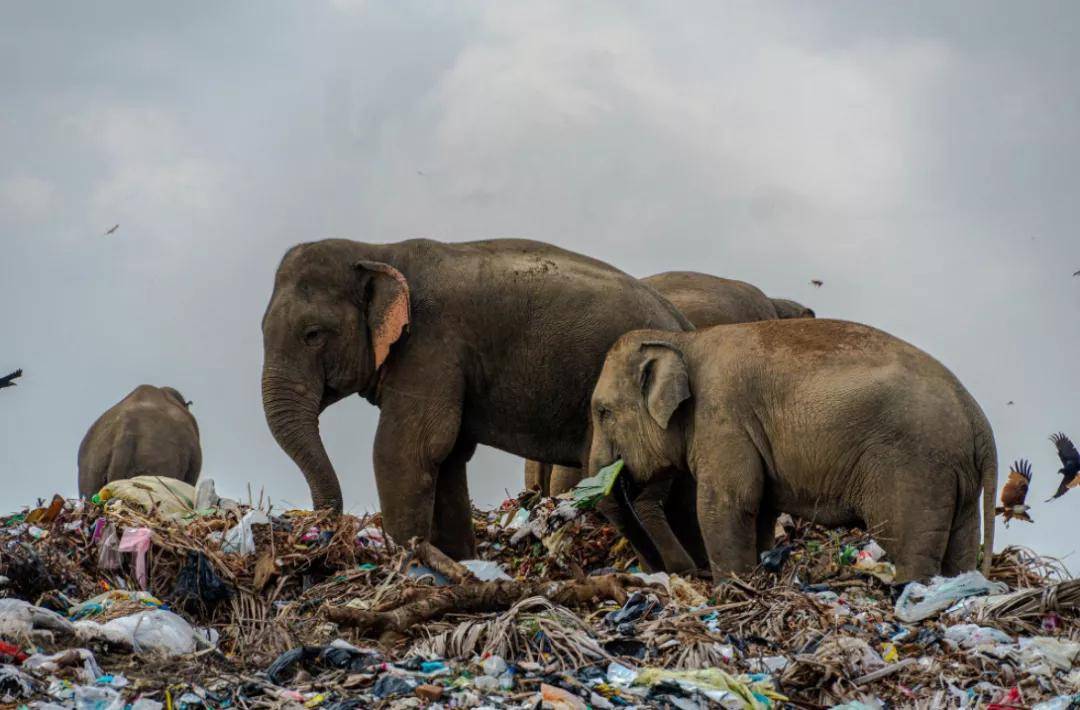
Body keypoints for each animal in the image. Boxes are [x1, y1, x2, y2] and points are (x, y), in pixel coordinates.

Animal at [259, 237, 691, 557]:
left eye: (312, 334)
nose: (320, 530)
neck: (377, 250)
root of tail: (681, 320)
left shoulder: (431, 346)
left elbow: (407, 450)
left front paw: (408, 564)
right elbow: (447, 456)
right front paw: (458, 562)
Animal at [587, 317, 997, 583]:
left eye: (602, 412)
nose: (679, 573)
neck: (683, 340)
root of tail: (978, 419)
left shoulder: (723, 417)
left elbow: (728, 503)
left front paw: (731, 589)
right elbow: (760, 509)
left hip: (917, 470)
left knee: (910, 548)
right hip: (956, 478)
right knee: (960, 548)